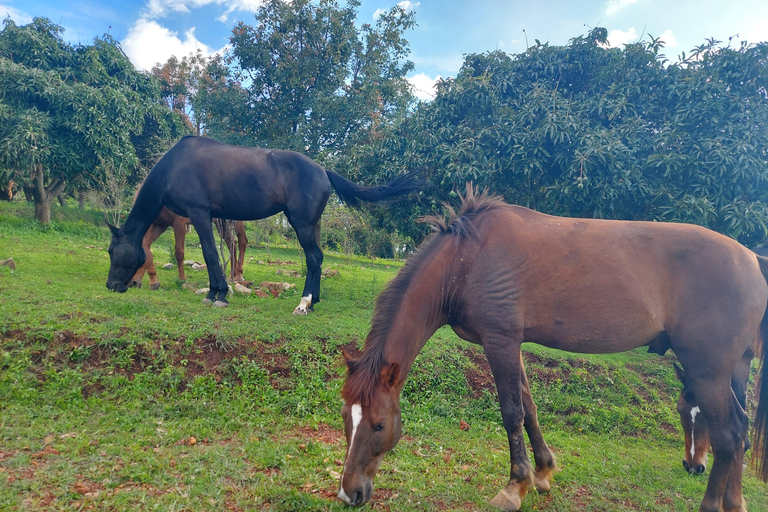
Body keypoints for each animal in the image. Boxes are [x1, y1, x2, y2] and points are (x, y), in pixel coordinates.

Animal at [104, 136, 420, 312]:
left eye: (111, 251)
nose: (112, 286)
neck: (173, 167)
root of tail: (323, 170)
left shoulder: (198, 213)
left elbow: (209, 254)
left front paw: (218, 294)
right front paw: (215, 292)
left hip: (302, 224)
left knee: (314, 258)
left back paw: (303, 303)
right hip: (311, 226)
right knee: (317, 259)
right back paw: (314, 301)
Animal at [340, 187, 768, 512]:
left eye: (379, 424)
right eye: (347, 418)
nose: (349, 493)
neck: (466, 259)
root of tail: (751, 258)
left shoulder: (500, 341)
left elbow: (512, 413)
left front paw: (514, 486)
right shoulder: (511, 343)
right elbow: (529, 408)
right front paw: (542, 473)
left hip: (708, 371)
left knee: (729, 435)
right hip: (730, 371)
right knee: (740, 430)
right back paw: (735, 502)